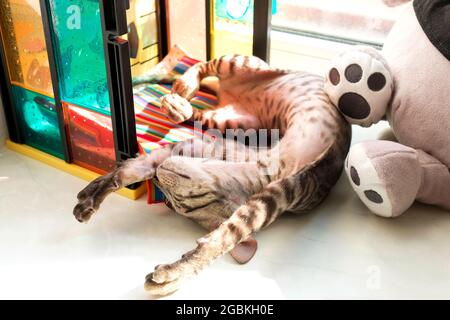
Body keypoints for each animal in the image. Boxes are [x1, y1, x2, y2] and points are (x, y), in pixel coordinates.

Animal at [73, 54, 352, 296]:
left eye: (182, 203)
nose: (158, 180)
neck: (267, 169)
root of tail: (229, 91)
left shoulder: (274, 196)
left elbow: (220, 240)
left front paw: (175, 275)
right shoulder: (191, 148)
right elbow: (128, 170)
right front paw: (91, 197)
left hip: (230, 119)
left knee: (199, 105)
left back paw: (180, 102)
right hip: (241, 68)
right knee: (205, 66)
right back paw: (183, 88)